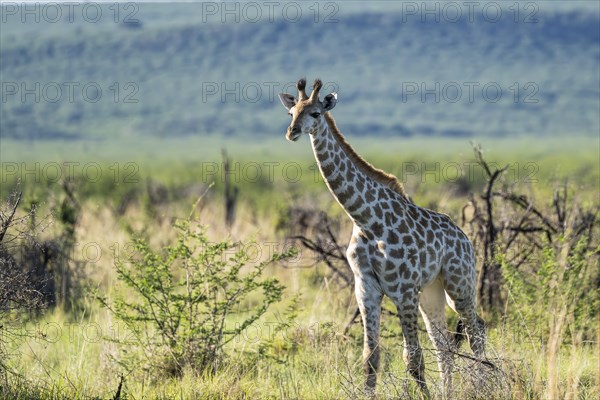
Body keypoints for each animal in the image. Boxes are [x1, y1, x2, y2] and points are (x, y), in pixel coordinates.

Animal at [278, 78, 486, 396]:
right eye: (291, 113)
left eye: (314, 113)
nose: (292, 132)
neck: (366, 220)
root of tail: (464, 238)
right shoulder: (366, 290)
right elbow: (371, 358)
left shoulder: (404, 290)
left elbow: (413, 358)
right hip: (432, 292)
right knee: (445, 346)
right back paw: (450, 392)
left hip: (458, 285)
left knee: (476, 334)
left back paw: (485, 385)